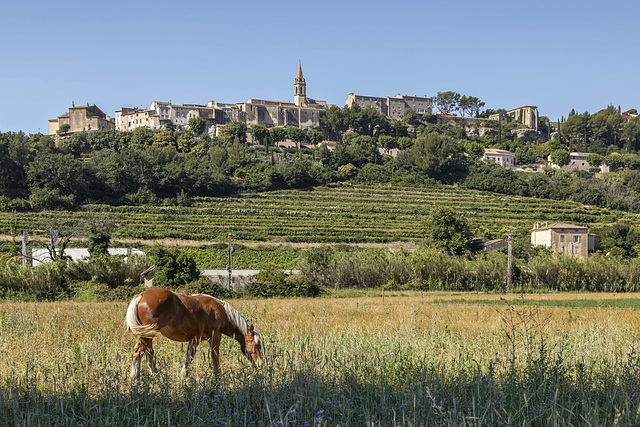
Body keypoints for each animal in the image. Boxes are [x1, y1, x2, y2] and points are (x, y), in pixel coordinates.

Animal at [125, 288, 262, 382]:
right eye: (256, 346)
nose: (260, 365)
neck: (221, 311)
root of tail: (141, 296)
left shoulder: (195, 339)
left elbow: (189, 356)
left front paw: (184, 375)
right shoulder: (215, 337)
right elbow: (215, 357)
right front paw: (218, 376)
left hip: (148, 335)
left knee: (148, 351)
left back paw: (154, 373)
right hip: (147, 335)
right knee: (139, 351)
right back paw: (135, 378)